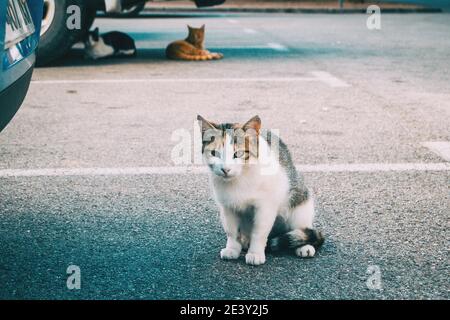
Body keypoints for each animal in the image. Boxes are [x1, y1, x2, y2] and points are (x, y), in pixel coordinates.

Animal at [197, 116, 324, 266]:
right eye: (214, 153)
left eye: (238, 153)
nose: (225, 169)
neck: (240, 178)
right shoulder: (228, 207)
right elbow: (232, 231)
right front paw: (232, 248)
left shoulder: (265, 206)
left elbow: (259, 232)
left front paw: (255, 253)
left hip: (300, 202)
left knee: (302, 228)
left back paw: (303, 246)